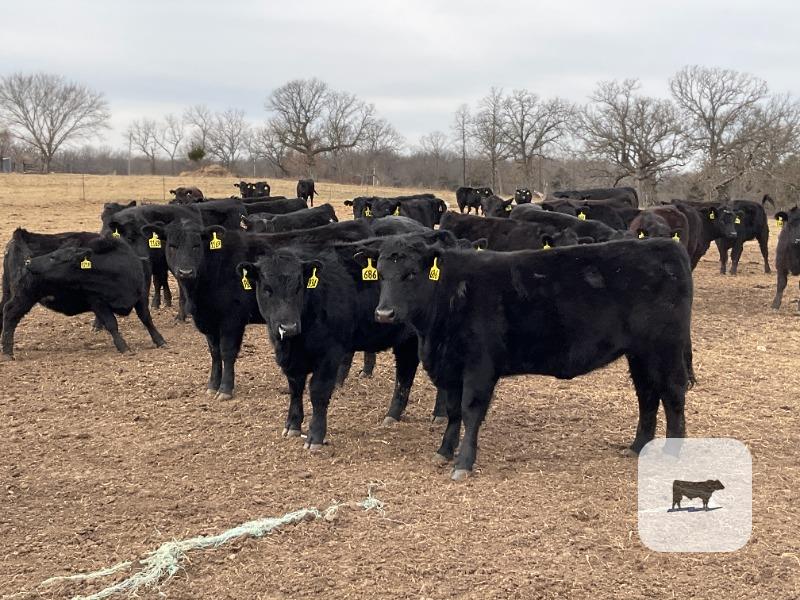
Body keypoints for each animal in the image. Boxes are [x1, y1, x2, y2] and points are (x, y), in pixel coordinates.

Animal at [1, 234, 166, 359]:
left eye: (54, 257)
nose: (28, 262)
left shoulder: (141, 296)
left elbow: (146, 319)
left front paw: (160, 340)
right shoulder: (98, 302)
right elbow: (111, 324)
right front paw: (123, 346)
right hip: (24, 296)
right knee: (10, 315)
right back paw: (8, 352)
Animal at [141, 219, 374, 400]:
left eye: (197, 245)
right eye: (172, 245)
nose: (186, 271)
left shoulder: (232, 319)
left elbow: (227, 352)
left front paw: (225, 389)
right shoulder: (209, 321)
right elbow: (214, 352)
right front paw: (212, 385)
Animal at [368, 237, 694, 480]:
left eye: (411, 273)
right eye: (381, 274)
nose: (384, 313)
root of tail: (667, 246)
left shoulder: (479, 367)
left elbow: (471, 412)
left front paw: (463, 464)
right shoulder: (448, 368)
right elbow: (453, 412)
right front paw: (444, 452)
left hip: (664, 348)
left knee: (673, 394)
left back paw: (672, 452)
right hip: (640, 354)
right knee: (647, 395)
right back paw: (637, 447)